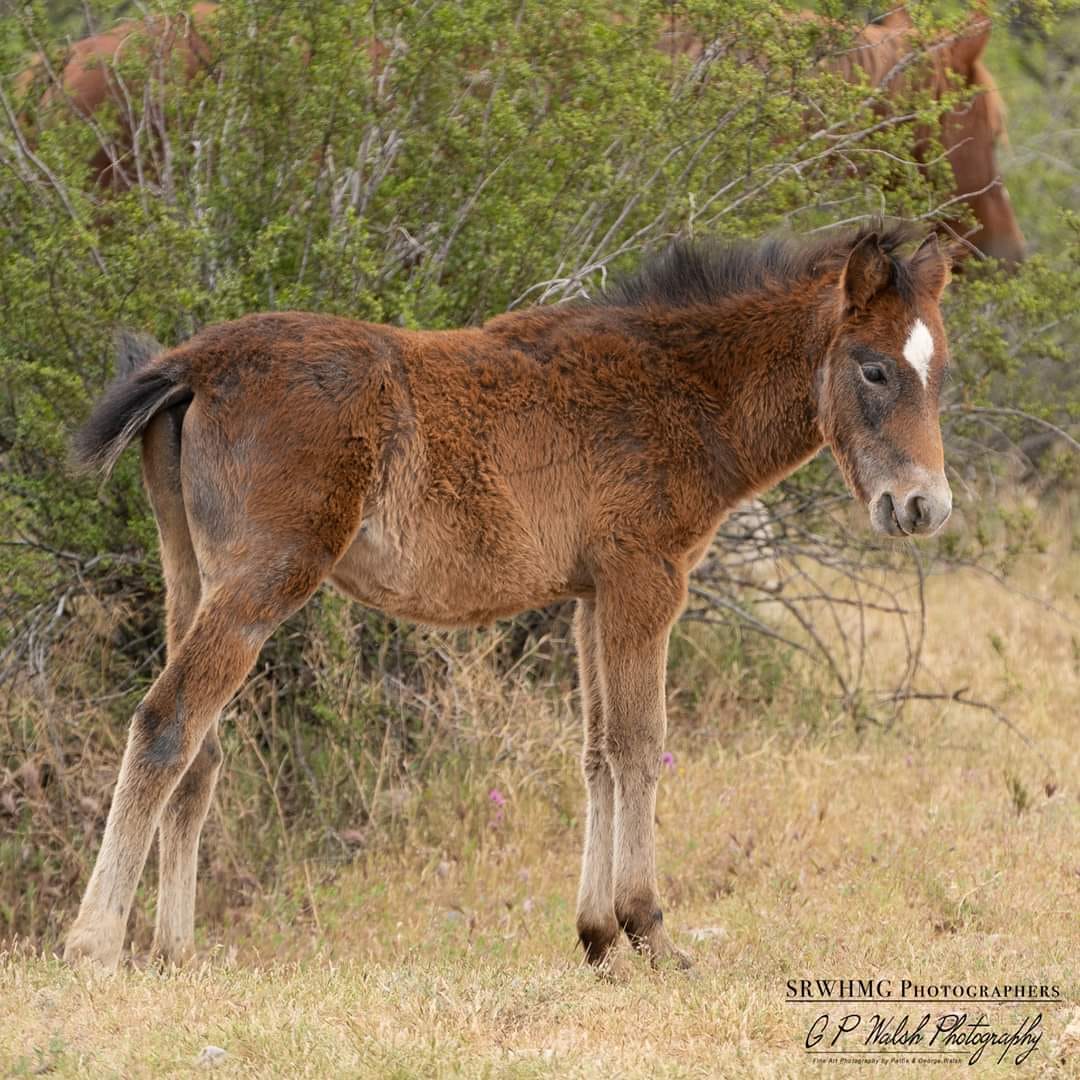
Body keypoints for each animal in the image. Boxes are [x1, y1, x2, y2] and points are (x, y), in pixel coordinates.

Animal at [66, 223, 955, 971]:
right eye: (874, 368)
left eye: (939, 371)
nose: (924, 506)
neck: (678, 387)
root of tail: (194, 363)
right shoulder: (646, 578)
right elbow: (639, 745)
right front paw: (650, 932)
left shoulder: (592, 595)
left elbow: (597, 753)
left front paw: (596, 935)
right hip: (262, 580)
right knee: (166, 724)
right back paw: (94, 945)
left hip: (191, 577)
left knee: (201, 755)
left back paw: (174, 952)